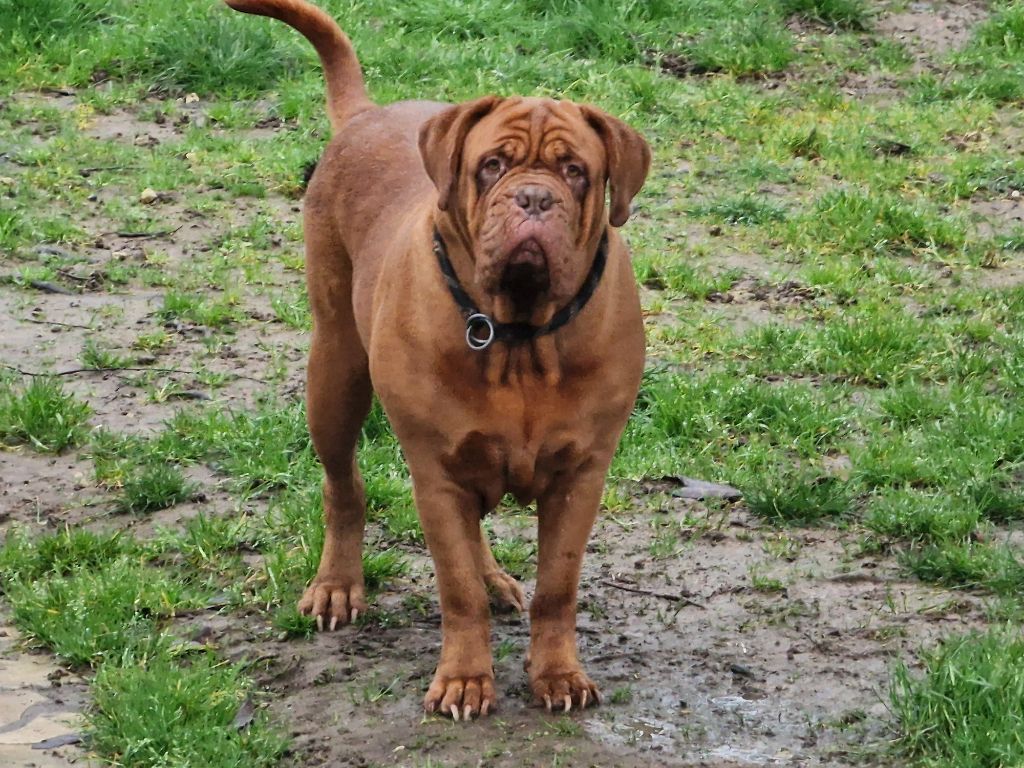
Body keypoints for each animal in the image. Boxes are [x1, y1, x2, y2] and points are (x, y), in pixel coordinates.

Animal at [228, 0, 651, 720]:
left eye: (575, 172)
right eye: (492, 166)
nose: (533, 198)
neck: (518, 337)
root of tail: (366, 115)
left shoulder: (582, 474)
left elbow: (557, 586)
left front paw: (558, 674)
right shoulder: (434, 469)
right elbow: (455, 589)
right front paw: (464, 680)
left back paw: (495, 578)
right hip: (335, 374)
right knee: (343, 486)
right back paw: (338, 584)